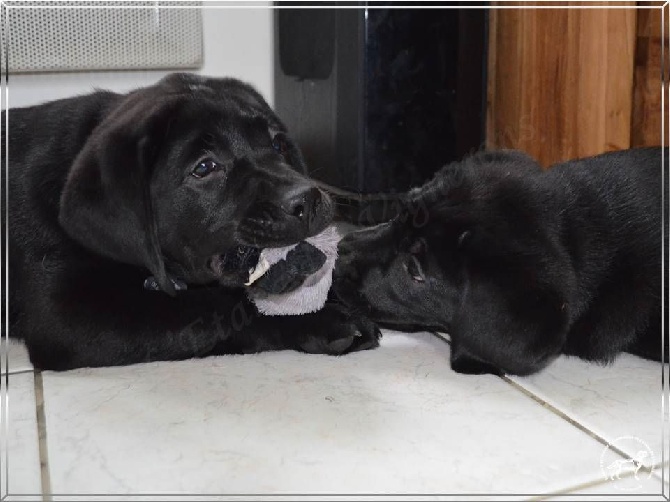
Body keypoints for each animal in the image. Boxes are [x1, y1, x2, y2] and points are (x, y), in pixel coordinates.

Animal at [5, 72, 380, 370]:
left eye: (277, 144)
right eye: (204, 167)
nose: (308, 199)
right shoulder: (67, 314)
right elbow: (212, 308)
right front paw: (323, 319)